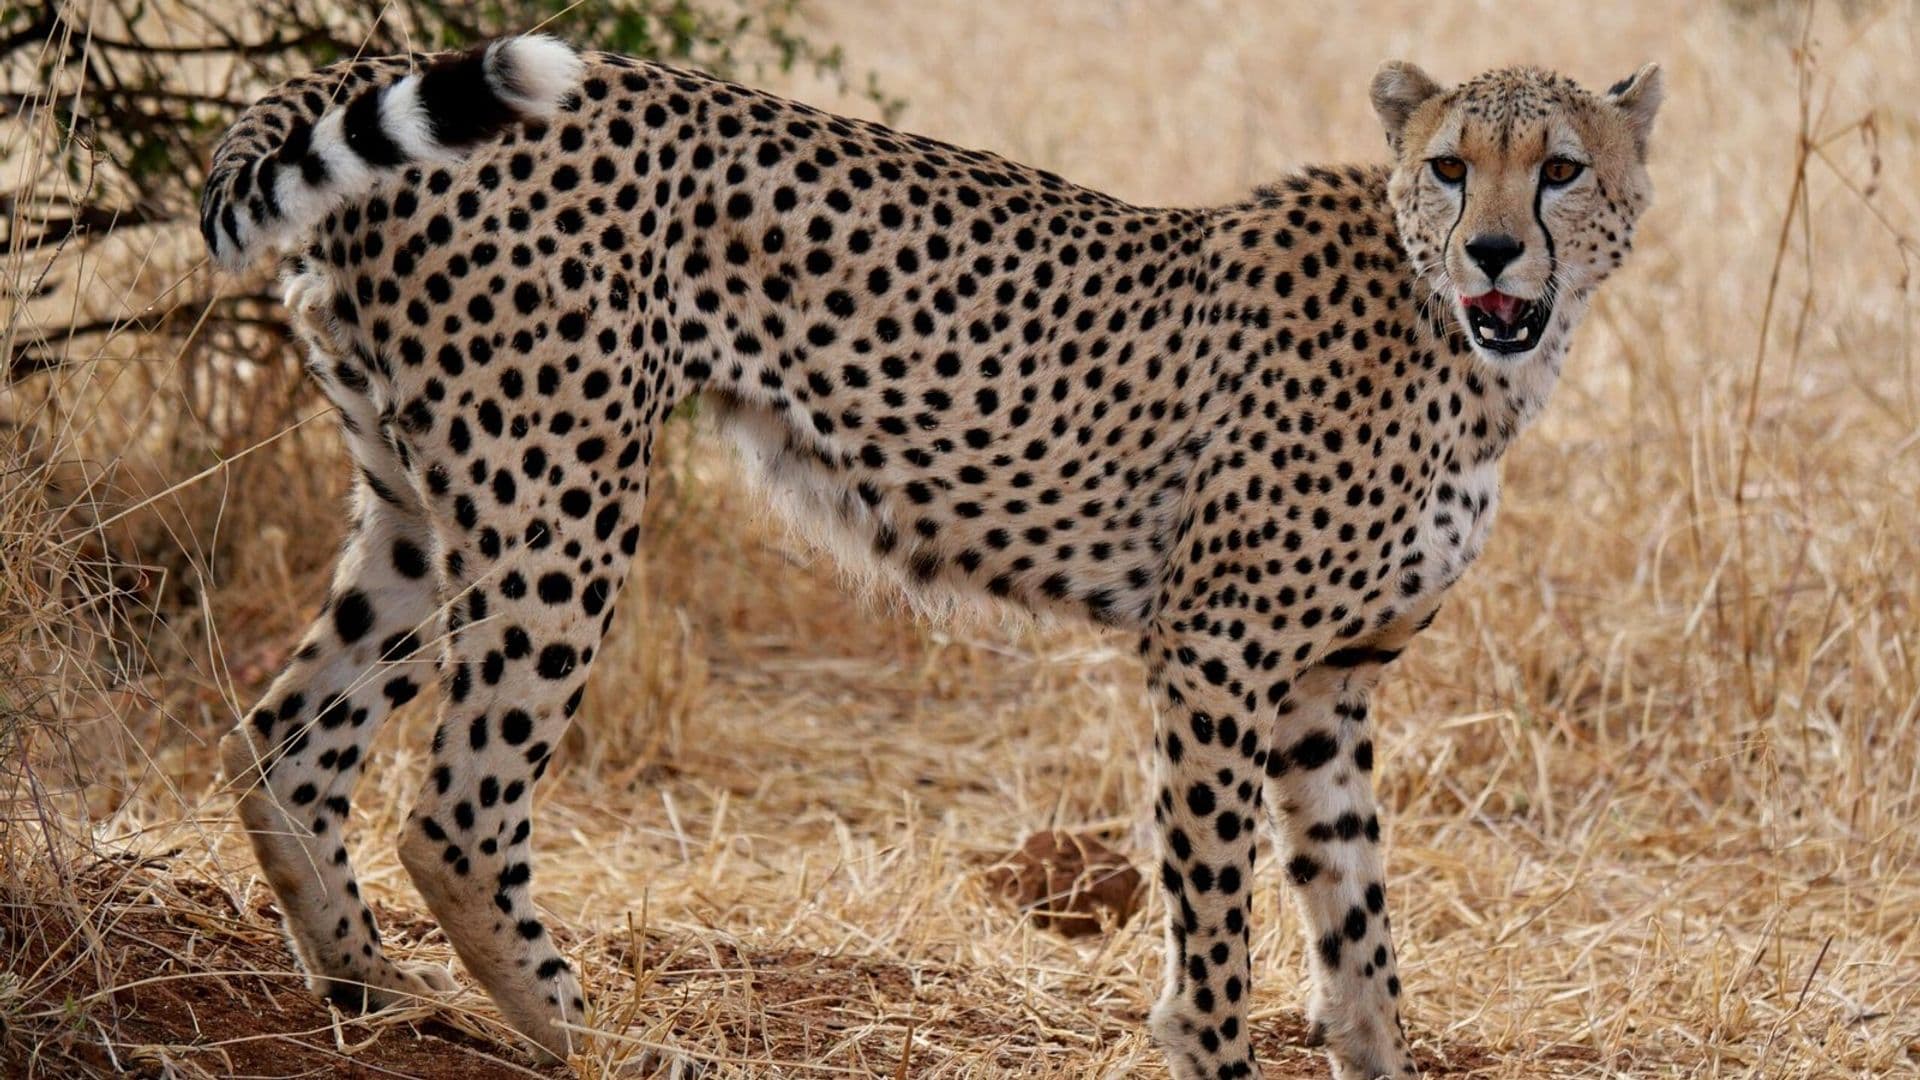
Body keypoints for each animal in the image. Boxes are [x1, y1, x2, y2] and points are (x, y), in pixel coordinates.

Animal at [201, 34, 1662, 1079]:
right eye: (1452, 166)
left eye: (1561, 168)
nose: (1493, 251)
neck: (1468, 348)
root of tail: (363, 58)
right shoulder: (1216, 650)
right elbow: (1216, 917)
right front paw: (1211, 1046)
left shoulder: (1326, 683)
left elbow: (1358, 931)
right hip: (556, 501)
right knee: (455, 810)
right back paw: (604, 1041)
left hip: (422, 505)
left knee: (284, 739)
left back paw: (373, 992)